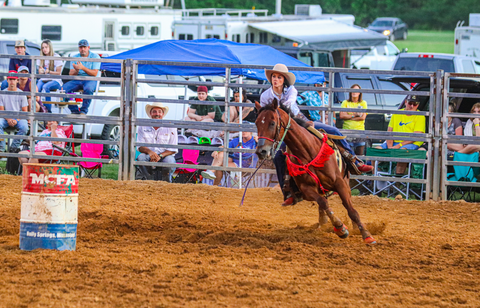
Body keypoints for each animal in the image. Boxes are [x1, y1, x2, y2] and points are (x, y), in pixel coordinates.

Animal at [256, 100, 376, 244]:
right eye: (256, 123)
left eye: (272, 123)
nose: (261, 151)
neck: (308, 151)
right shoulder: (306, 189)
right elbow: (323, 202)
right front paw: (340, 228)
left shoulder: (339, 183)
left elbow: (351, 210)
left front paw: (366, 234)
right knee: (323, 203)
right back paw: (323, 223)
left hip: (346, 182)